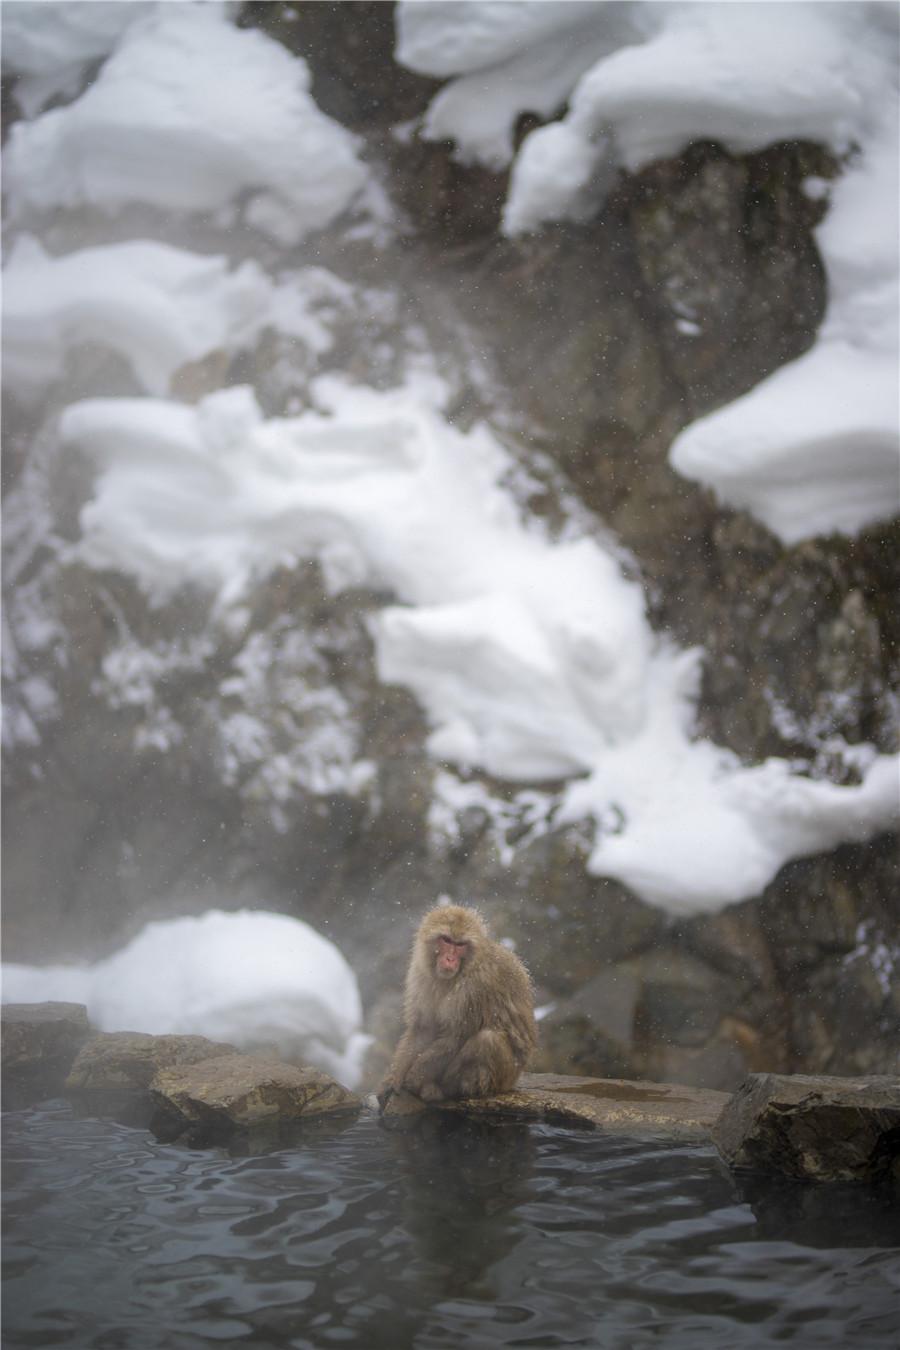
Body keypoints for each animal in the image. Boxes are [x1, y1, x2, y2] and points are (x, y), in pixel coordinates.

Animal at [377, 907, 534, 1107]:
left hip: (505, 1077)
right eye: (446, 940)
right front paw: (393, 1080)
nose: (450, 958)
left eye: (460, 945)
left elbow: (455, 1037)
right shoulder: (420, 974)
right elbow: (423, 1030)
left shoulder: (476, 986)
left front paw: (412, 1080)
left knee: (487, 1040)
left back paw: (442, 1090)